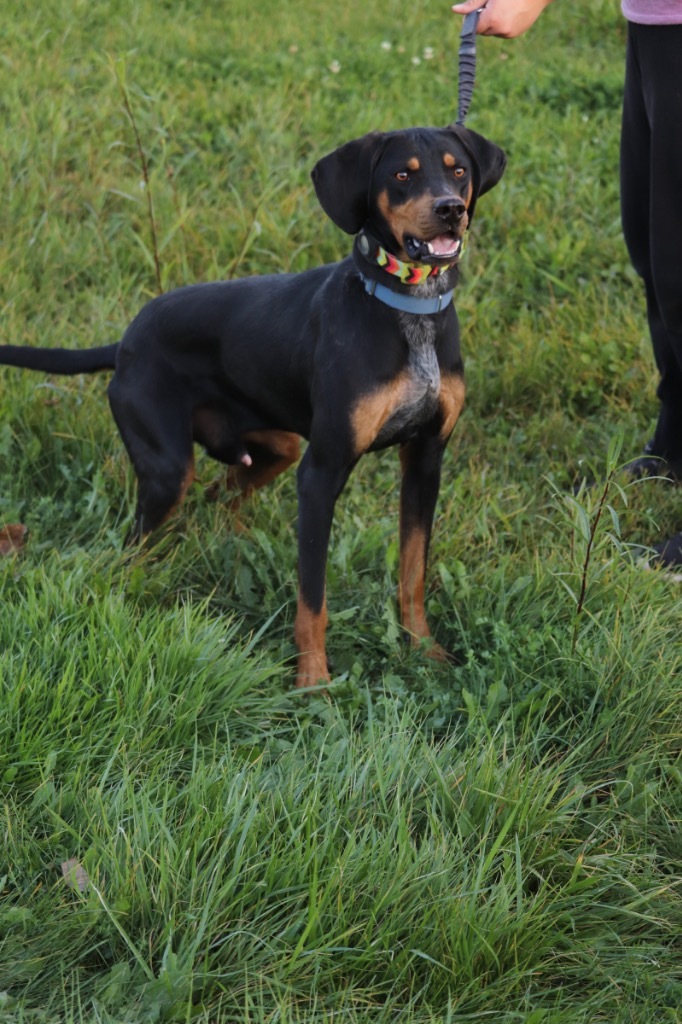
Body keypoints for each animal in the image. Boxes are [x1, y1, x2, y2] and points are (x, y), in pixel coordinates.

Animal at [0, 125, 501, 688]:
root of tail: (125, 343)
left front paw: (424, 651)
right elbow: (312, 598)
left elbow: (412, 574)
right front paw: (313, 683)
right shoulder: (321, 472)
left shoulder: (425, 460)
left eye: (457, 170)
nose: (450, 208)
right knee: (135, 543)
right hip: (169, 468)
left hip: (274, 447)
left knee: (219, 498)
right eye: (402, 174)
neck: (406, 306)